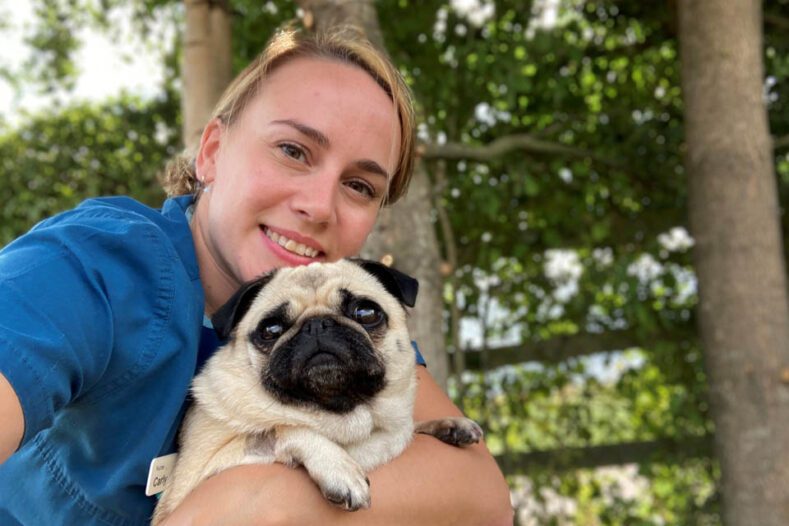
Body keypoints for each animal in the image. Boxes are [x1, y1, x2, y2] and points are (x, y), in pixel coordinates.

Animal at [149, 258, 480, 524]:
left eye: (366, 312)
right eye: (271, 330)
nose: (317, 325)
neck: (339, 415)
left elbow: (411, 428)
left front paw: (449, 424)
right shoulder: (193, 480)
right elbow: (283, 429)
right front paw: (339, 468)